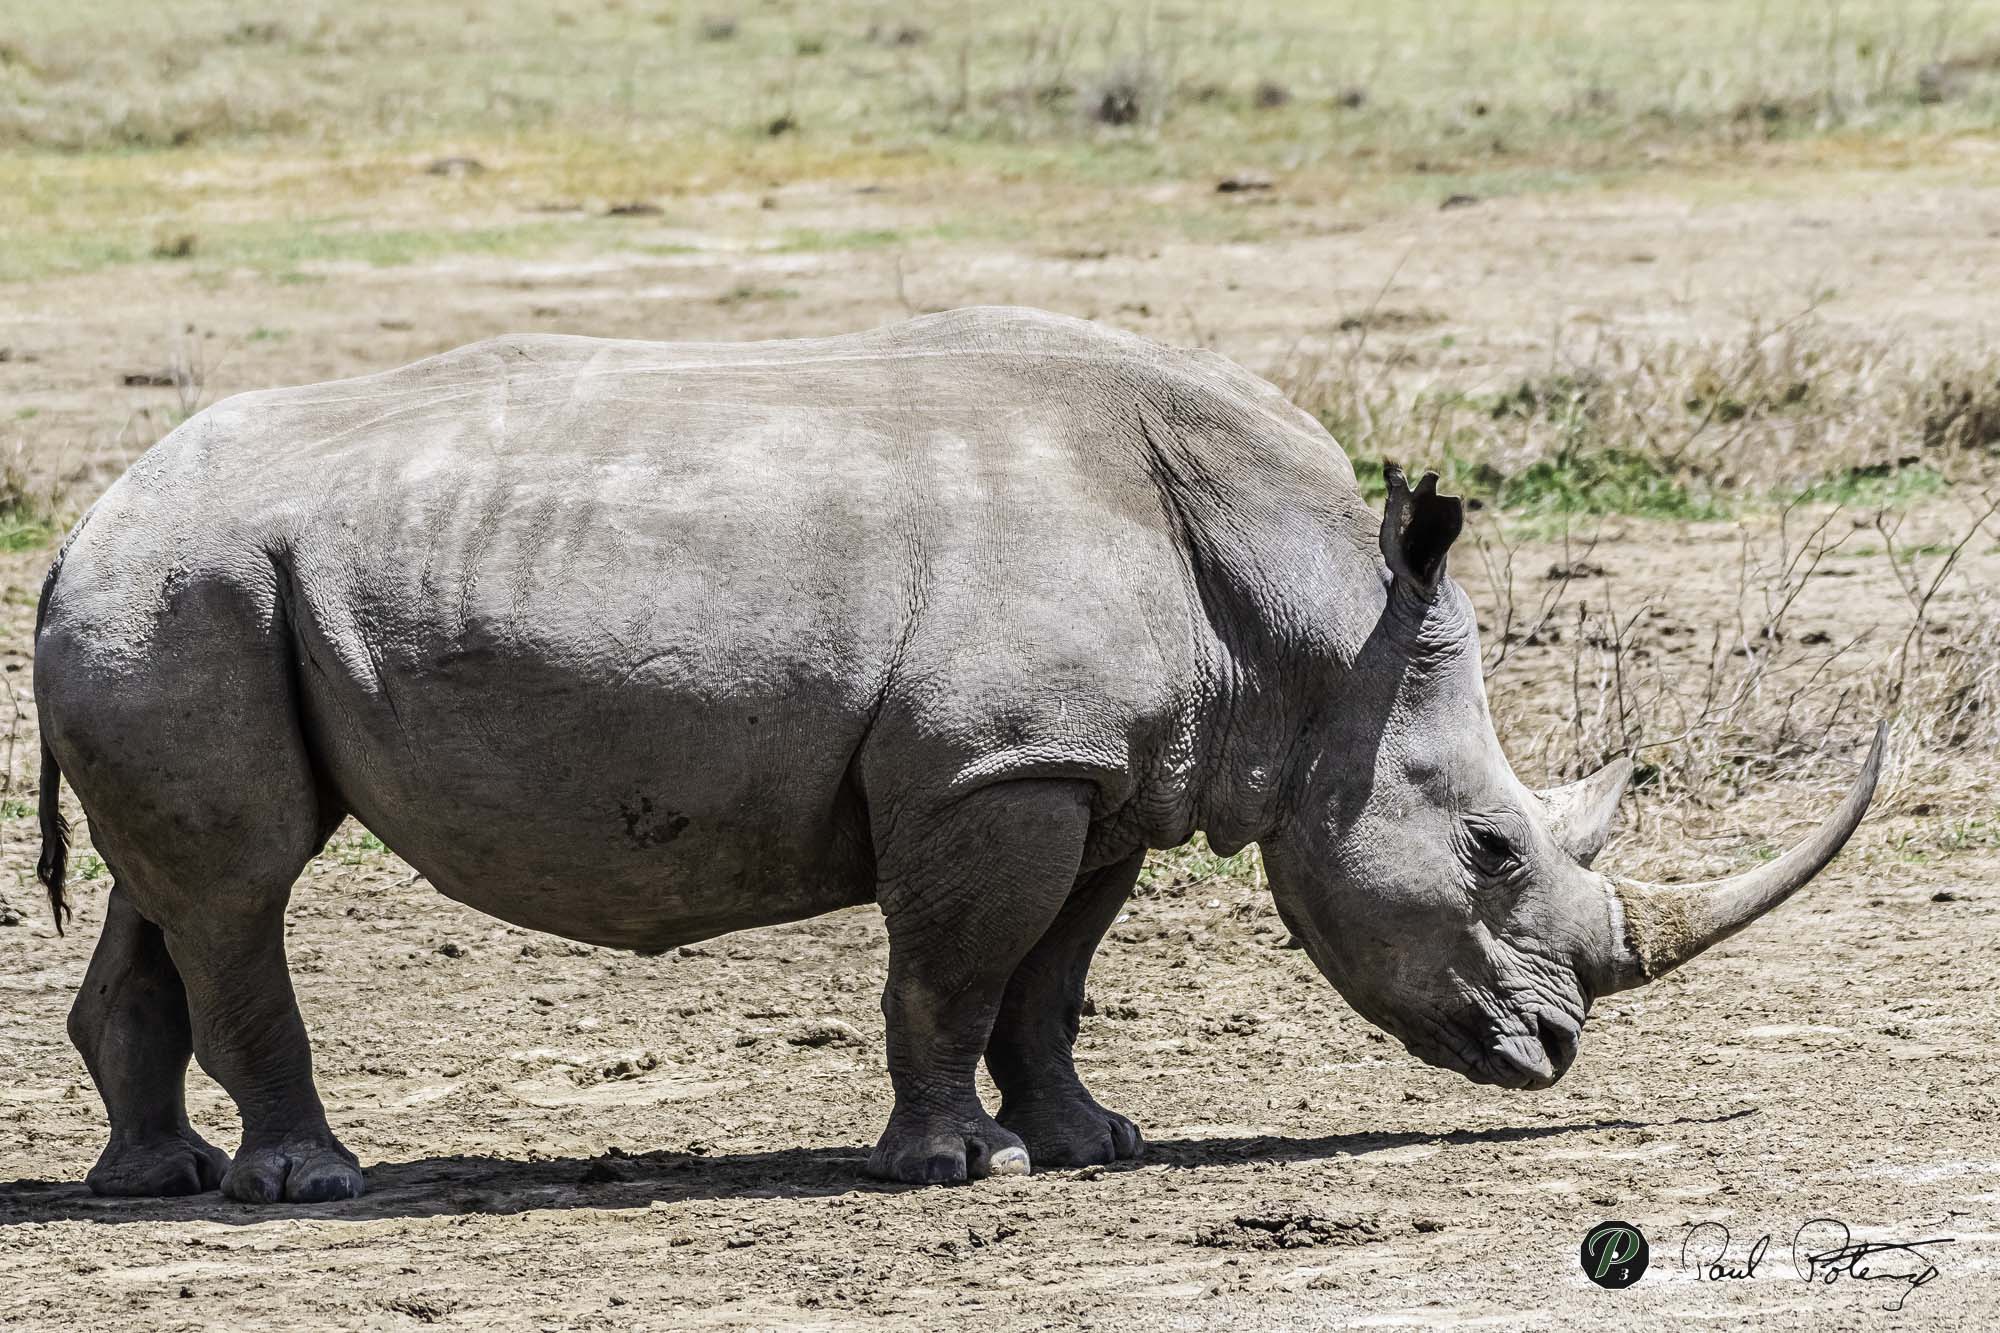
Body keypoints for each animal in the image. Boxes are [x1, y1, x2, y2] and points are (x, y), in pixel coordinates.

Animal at [32, 307, 1883, 1203]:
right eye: (1493, 849)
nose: (1554, 1049)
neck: (1311, 642)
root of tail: (78, 522)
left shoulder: (1103, 772)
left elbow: (1049, 977)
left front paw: (1091, 1143)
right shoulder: (991, 768)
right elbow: (949, 966)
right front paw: (951, 1164)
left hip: (177, 594)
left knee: (172, 881)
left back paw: (159, 1179)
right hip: (191, 583)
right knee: (245, 883)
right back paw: (308, 1183)